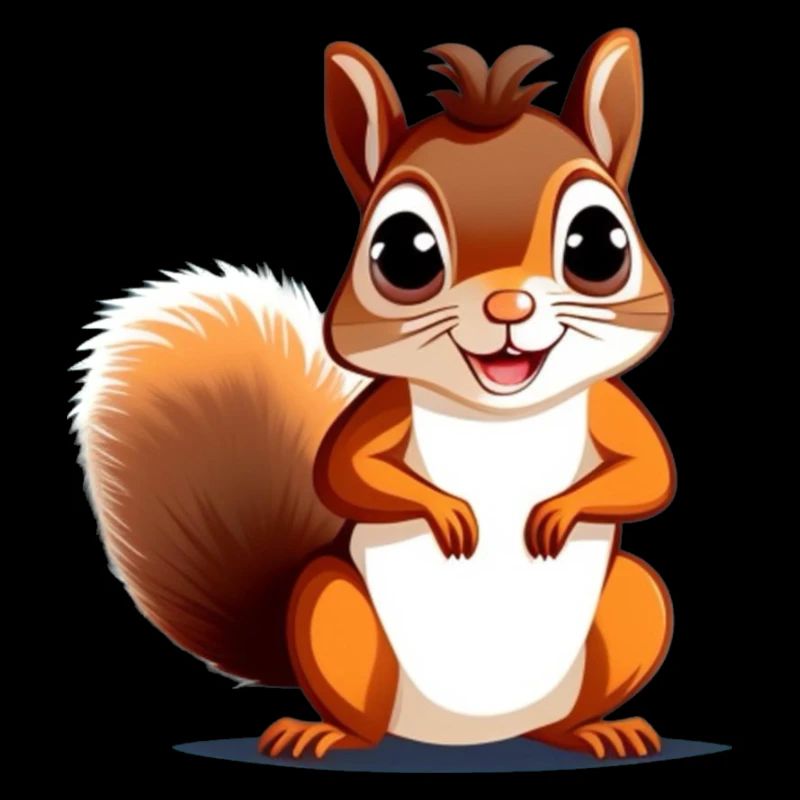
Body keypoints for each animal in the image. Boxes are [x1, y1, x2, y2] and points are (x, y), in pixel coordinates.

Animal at [72, 29, 675, 761]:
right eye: (402, 253)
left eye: (600, 244)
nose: (509, 305)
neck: (497, 410)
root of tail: (473, 735)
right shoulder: (384, 407)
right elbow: (343, 472)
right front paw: (450, 514)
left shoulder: (611, 403)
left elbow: (651, 473)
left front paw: (555, 513)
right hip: (332, 607)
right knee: (361, 714)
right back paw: (324, 732)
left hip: (637, 602)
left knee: (572, 703)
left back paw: (594, 730)